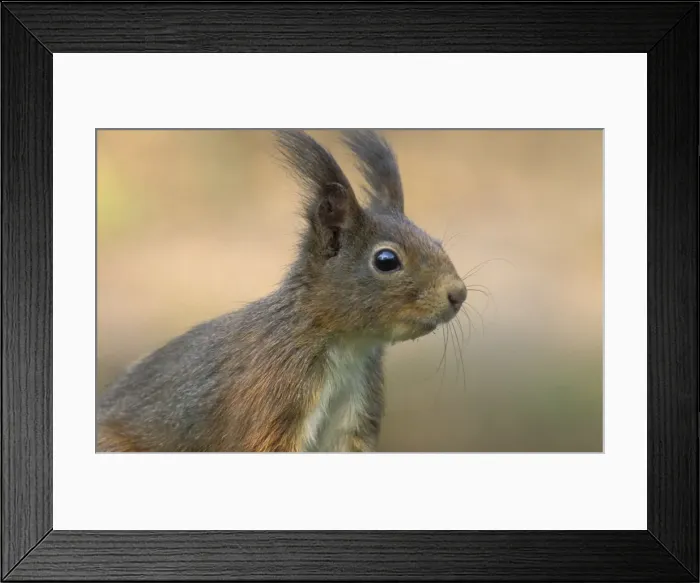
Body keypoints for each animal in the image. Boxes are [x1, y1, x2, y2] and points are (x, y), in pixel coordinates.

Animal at [96, 130, 467, 452]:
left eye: (436, 242)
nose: (458, 295)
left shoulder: (355, 411)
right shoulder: (273, 394)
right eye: (386, 260)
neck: (347, 346)